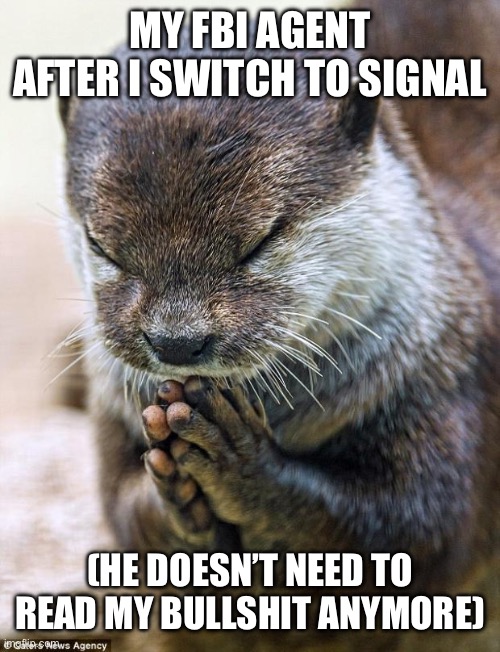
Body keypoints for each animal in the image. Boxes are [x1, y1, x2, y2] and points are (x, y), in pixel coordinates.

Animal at [59, 0, 499, 647]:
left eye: (260, 241)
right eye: (102, 246)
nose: (177, 341)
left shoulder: (449, 377)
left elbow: (415, 530)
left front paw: (240, 462)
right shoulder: (112, 412)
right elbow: (122, 509)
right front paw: (173, 500)